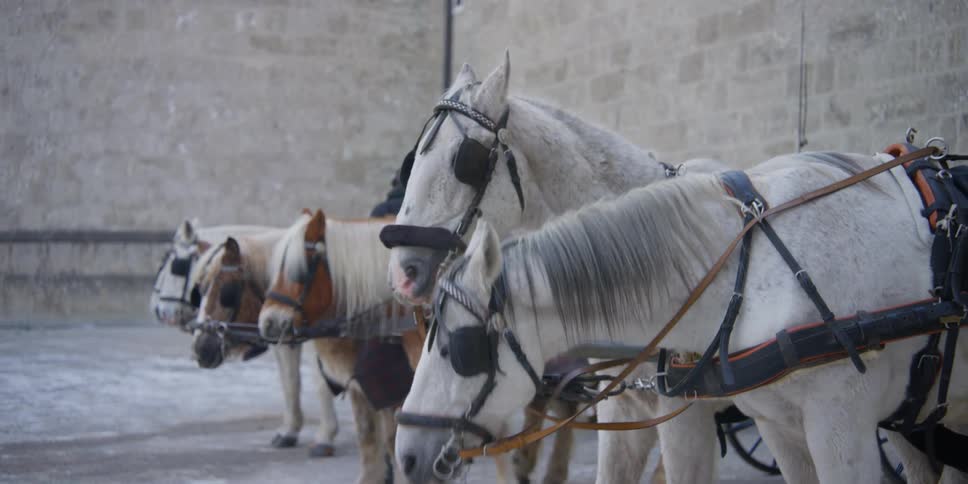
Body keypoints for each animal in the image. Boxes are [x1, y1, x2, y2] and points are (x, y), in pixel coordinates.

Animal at [188, 228, 340, 457]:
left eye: (227, 291)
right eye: (200, 290)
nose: (202, 349)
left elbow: (322, 383)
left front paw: (325, 436)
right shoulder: (286, 340)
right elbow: (290, 382)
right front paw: (289, 431)